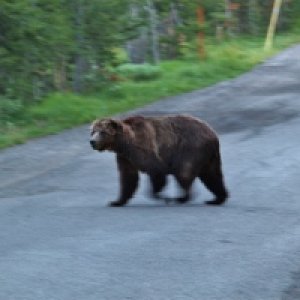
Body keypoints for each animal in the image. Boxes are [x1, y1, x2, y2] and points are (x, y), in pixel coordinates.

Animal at [90, 115, 229, 206]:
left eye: (102, 132)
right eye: (93, 131)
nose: (92, 142)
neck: (124, 143)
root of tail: (213, 134)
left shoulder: (144, 147)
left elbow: (155, 169)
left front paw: (161, 196)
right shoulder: (125, 157)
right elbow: (128, 178)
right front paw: (116, 201)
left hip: (190, 149)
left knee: (184, 172)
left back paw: (181, 197)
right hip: (209, 156)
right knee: (212, 176)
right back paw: (217, 198)